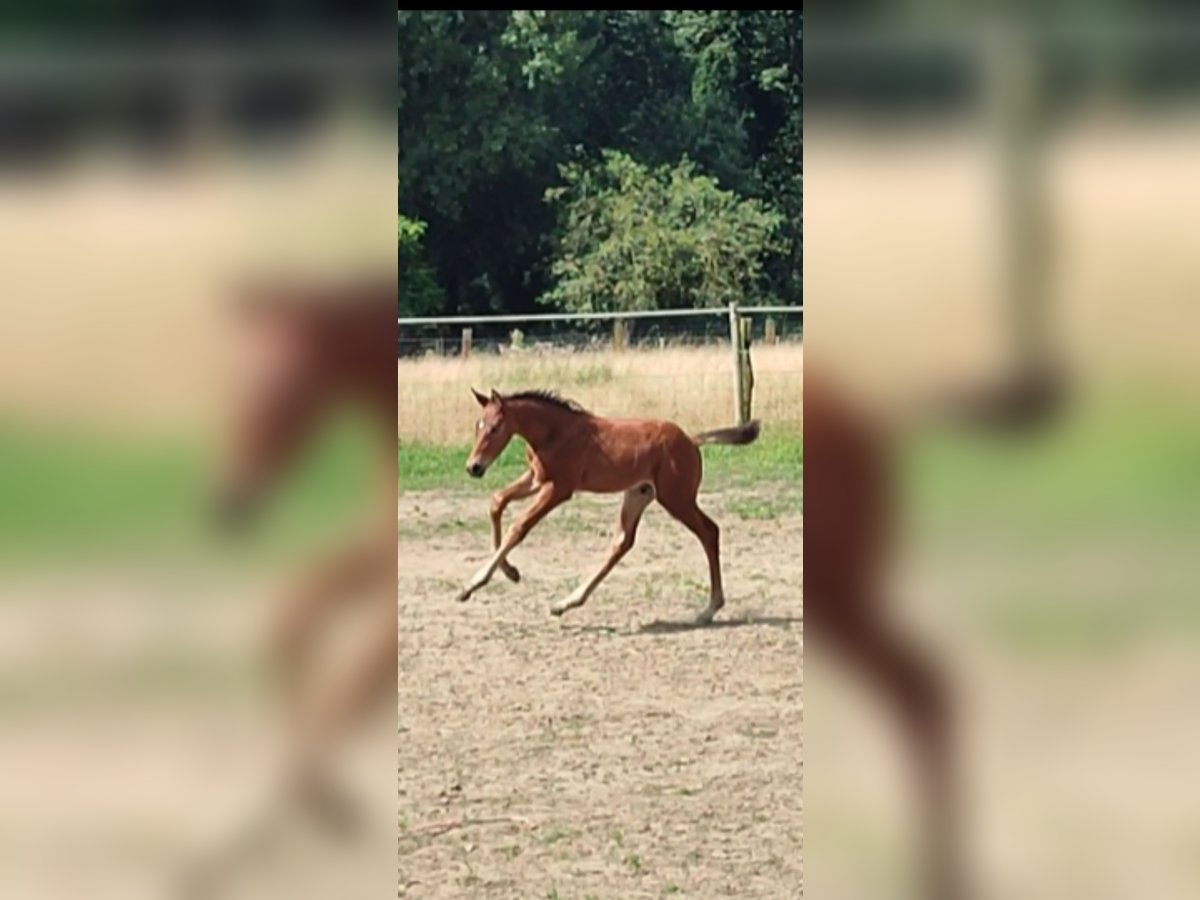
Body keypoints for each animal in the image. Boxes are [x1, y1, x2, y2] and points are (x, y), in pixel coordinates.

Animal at [453, 391, 753, 624]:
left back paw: (709, 609)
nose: (474, 467)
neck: (555, 432)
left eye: (495, 428)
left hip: (677, 499)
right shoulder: (536, 479)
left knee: (709, 531)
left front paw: (471, 585)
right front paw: (511, 572)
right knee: (622, 542)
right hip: (639, 494)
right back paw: (566, 603)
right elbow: (497, 502)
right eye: (477, 425)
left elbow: (519, 527)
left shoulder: (558, 489)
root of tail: (691, 441)